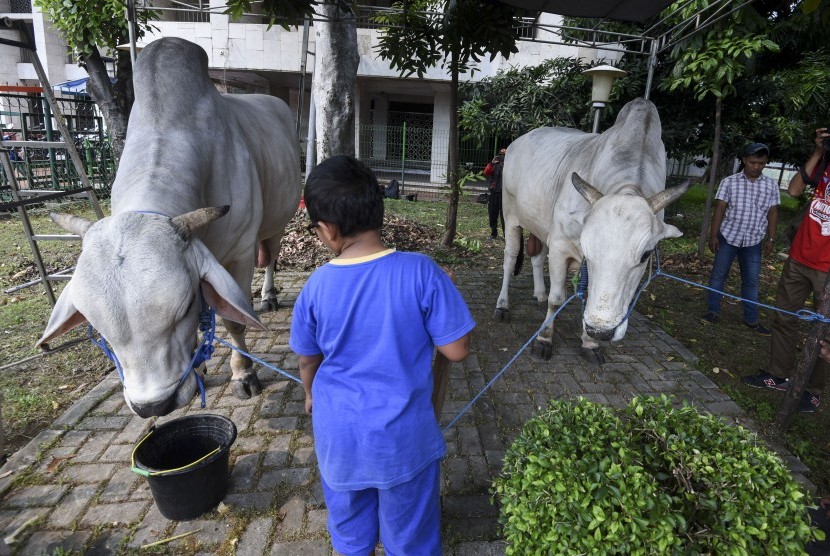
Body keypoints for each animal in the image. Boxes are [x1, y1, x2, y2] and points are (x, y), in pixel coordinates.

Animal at [36, 37, 302, 414]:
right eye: (96, 326)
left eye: (185, 306)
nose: (152, 407)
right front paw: (199, 367)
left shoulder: (239, 252)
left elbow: (234, 321)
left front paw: (243, 375)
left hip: (276, 223)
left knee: (271, 258)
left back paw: (267, 295)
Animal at [498, 97, 692, 362]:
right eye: (588, 251)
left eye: (645, 255)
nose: (600, 331)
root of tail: (517, 142)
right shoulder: (560, 246)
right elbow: (557, 298)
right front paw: (544, 339)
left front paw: (589, 343)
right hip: (511, 217)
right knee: (509, 259)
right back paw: (502, 305)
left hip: (540, 225)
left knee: (537, 256)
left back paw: (539, 295)